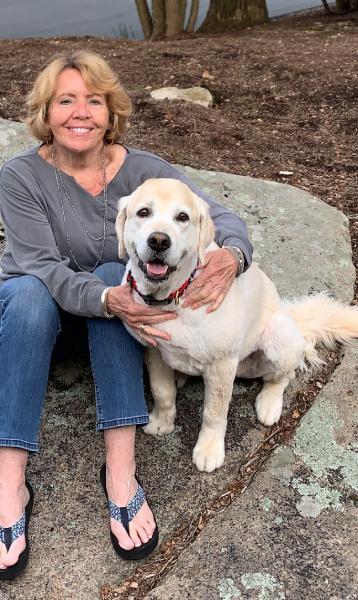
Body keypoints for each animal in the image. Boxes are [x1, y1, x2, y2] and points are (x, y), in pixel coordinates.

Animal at [116, 178, 358, 474]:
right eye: (143, 212)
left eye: (182, 217)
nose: (159, 240)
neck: (174, 297)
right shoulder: (154, 351)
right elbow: (162, 391)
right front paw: (163, 422)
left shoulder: (221, 366)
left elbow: (214, 412)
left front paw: (209, 450)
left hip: (278, 338)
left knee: (281, 377)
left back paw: (269, 404)